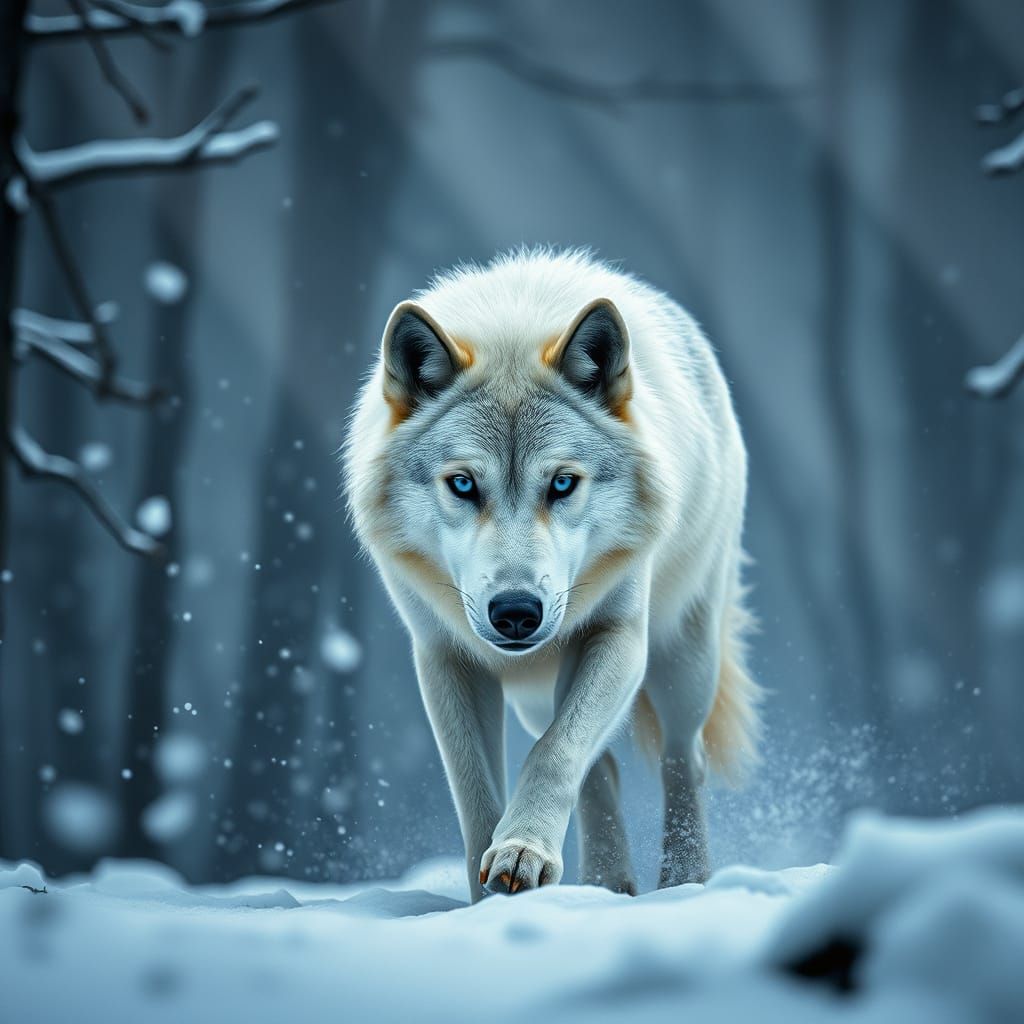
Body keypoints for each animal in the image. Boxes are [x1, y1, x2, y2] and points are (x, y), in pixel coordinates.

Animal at [345, 248, 760, 901]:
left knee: (679, 759)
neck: (513, 327)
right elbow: (477, 793)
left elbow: (557, 752)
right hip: (539, 693)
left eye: (562, 482)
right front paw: (488, 898)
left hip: (684, 657)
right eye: (463, 483)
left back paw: (683, 882)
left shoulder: (618, 635)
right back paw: (608, 884)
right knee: (601, 764)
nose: (516, 612)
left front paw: (522, 852)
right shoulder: (444, 656)